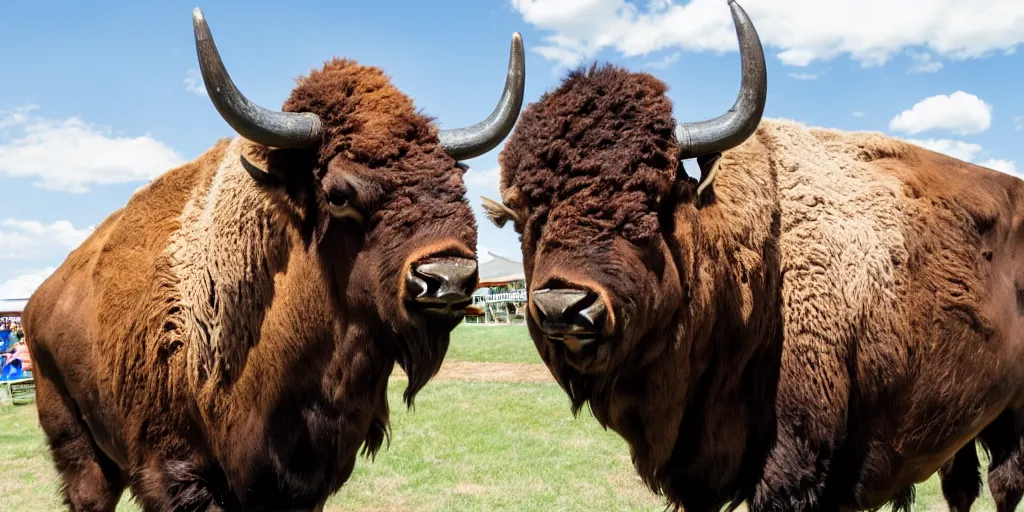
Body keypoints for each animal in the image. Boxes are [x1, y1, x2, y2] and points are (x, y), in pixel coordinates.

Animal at [28, 9, 524, 512]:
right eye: (338, 193)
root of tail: (39, 300)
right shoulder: (174, 472)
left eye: (457, 180)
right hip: (78, 448)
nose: (448, 277)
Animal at [479, 2, 1024, 509]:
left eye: (654, 197)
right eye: (523, 210)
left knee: (1003, 483)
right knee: (961, 485)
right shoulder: (695, 470)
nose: (563, 306)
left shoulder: (796, 462)